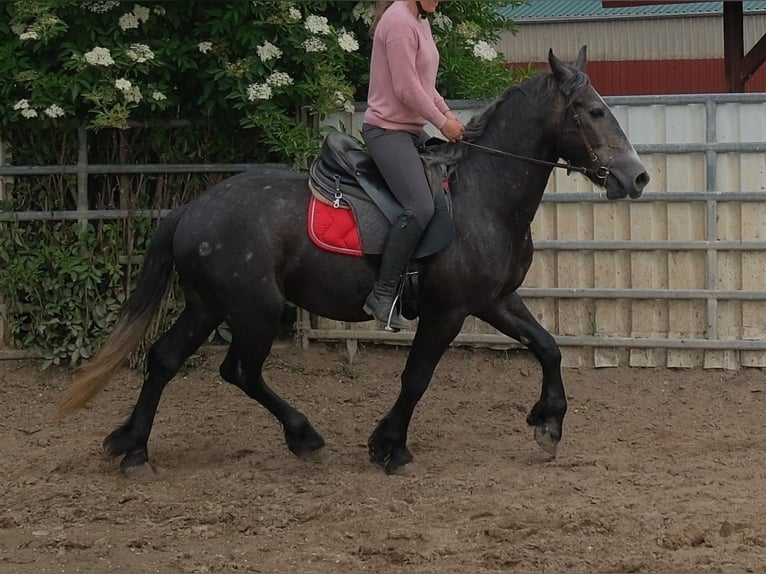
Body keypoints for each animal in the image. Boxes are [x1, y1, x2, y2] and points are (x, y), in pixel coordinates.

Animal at [57, 47, 649, 475]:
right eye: (594, 112)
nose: (637, 177)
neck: (482, 193)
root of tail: (191, 209)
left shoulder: (495, 301)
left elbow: (548, 347)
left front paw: (548, 425)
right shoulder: (448, 312)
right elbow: (417, 377)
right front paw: (391, 447)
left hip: (208, 305)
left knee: (164, 360)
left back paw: (134, 448)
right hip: (254, 309)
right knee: (240, 370)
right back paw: (303, 437)